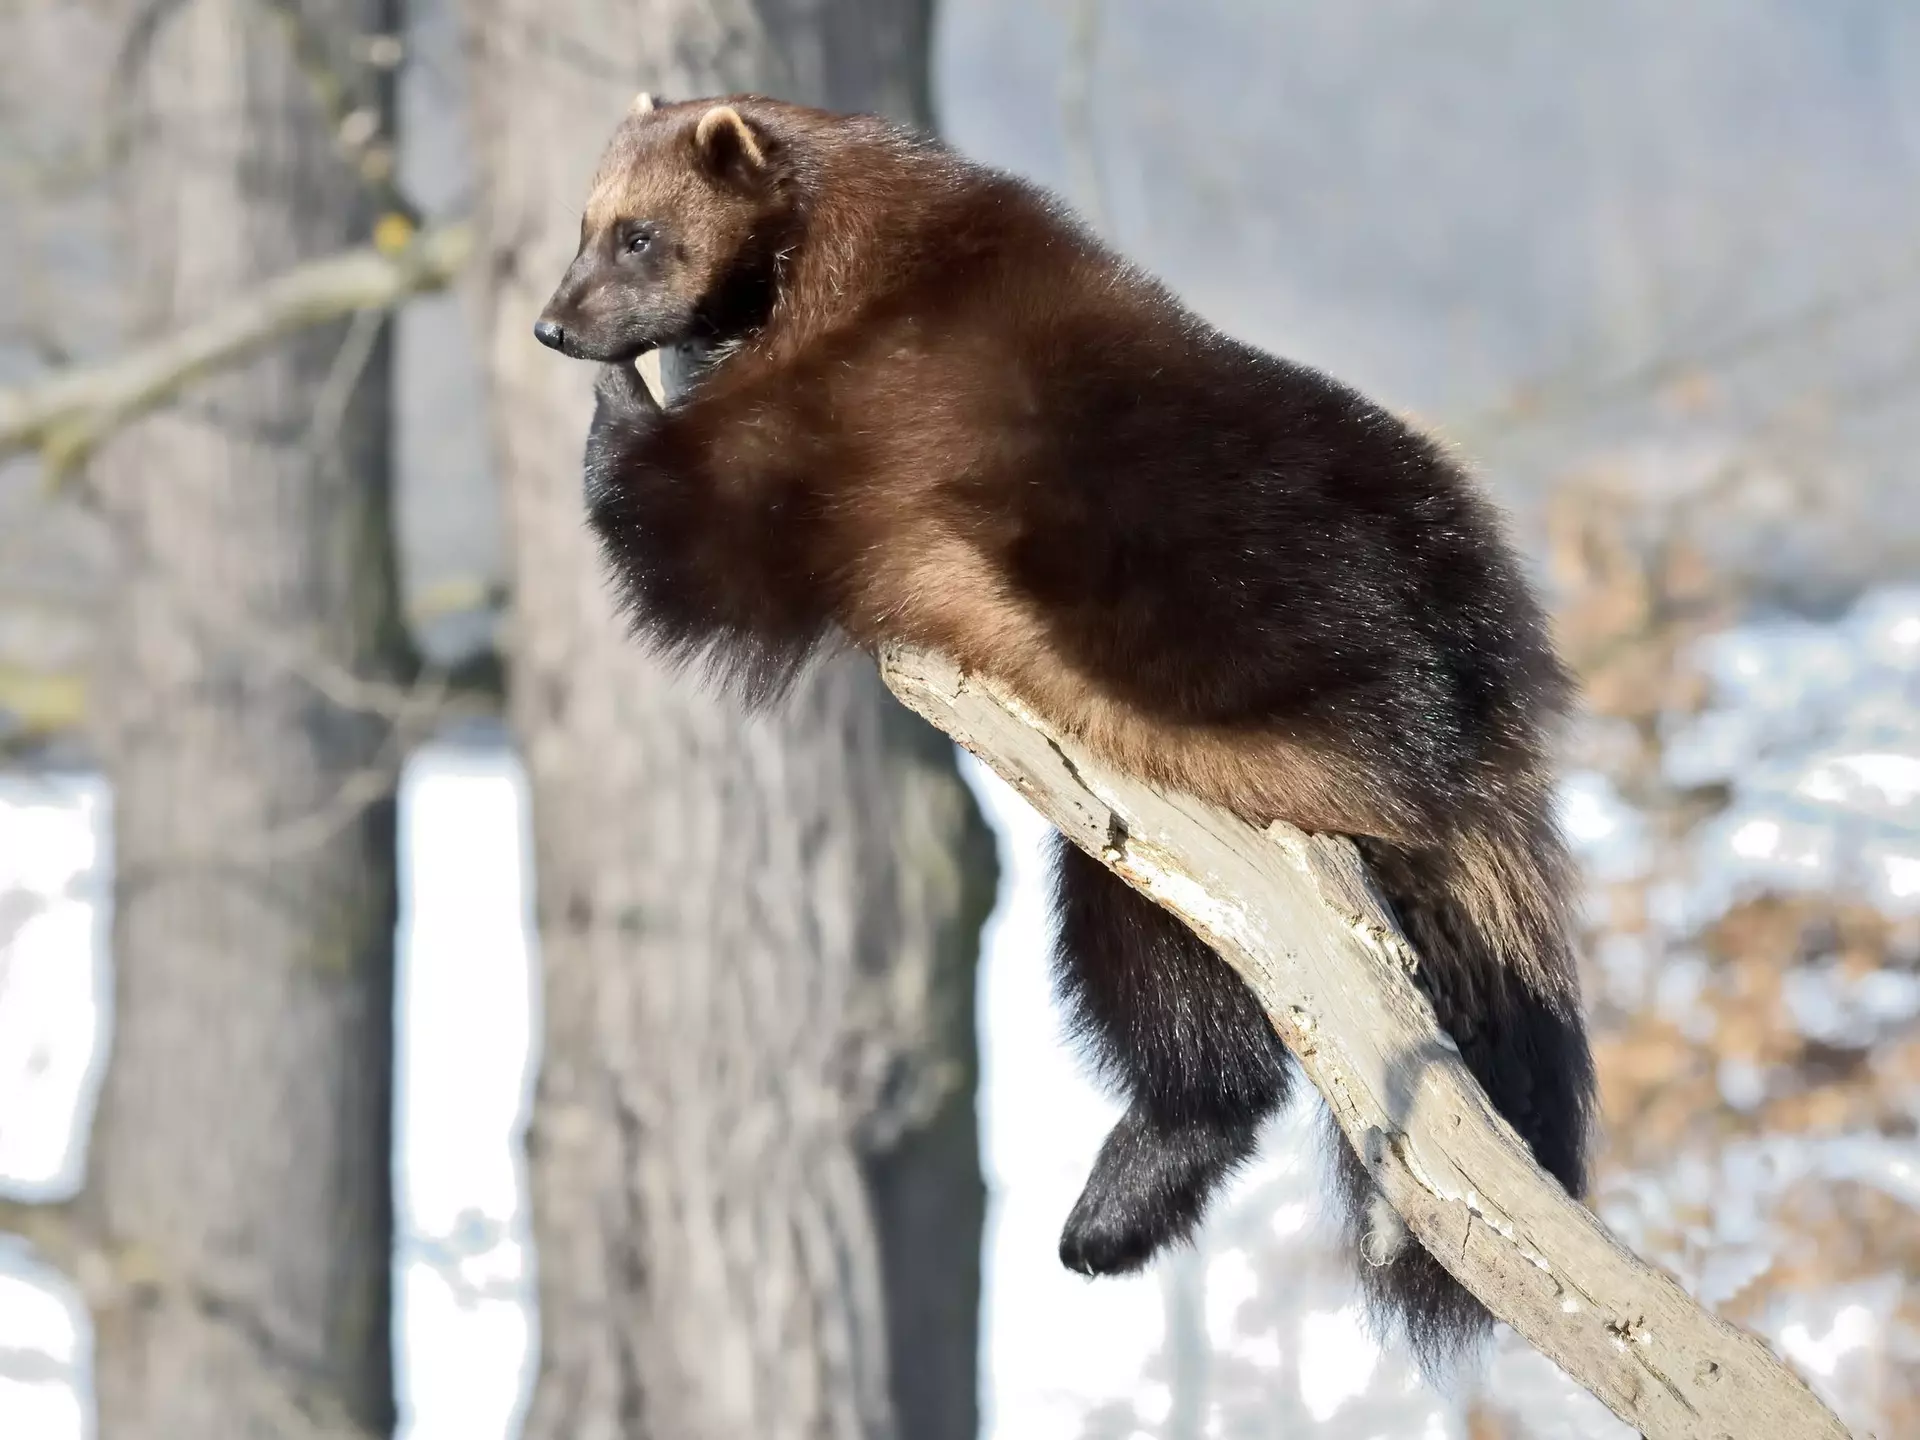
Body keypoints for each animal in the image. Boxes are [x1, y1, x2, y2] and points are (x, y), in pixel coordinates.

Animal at [535, 91, 1595, 1370]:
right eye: (586, 223)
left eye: (637, 235)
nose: (553, 324)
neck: (867, 262)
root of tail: (1494, 656)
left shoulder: (831, 418)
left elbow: (702, 536)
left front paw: (622, 410)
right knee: (1198, 1021)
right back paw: (1120, 1208)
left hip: (1203, 769)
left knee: (1175, 1024)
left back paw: (1113, 1203)